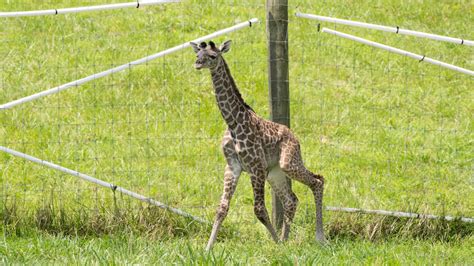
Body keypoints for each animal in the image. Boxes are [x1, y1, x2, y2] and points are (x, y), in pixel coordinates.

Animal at [190, 40, 326, 251]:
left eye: (212, 56)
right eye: (198, 53)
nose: (197, 63)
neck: (233, 122)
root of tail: (295, 137)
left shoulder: (256, 167)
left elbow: (259, 209)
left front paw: (276, 243)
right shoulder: (232, 167)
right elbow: (222, 208)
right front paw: (207, 249)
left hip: (288, 162)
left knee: (318, 181)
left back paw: (319, 237)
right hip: (275, 172)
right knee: (291, 200)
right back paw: (286, 239)